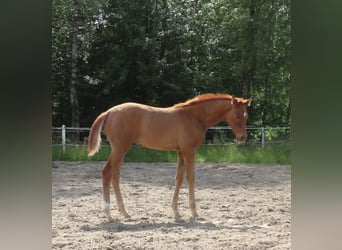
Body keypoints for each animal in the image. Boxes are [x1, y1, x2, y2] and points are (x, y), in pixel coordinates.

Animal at [89, 93, 251, 221]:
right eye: (237, 115)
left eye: (246, 116)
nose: (242, 138)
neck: (194, 116)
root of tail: (109, 112)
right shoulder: (189, 151)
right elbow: (191, 177)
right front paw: (194, 212)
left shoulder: (180, 152)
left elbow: (179, 178)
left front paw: (176, 212)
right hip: (119, 148)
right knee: (107, 172)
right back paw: (108, 214)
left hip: (122, 150)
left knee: (115, 175)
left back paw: (125, 213)